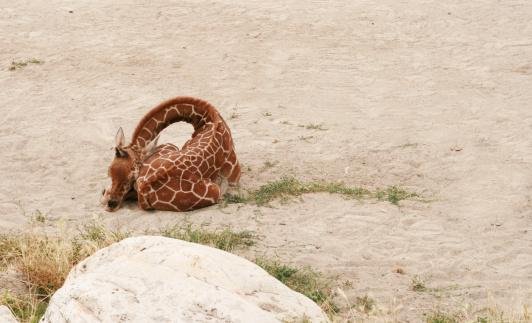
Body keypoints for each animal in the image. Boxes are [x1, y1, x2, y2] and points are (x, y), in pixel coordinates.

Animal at [101, 96, 241, 213]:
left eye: (132, 177)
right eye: (109, 172)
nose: (111, 204)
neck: (208, 119)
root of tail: (146, 186)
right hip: (214, 190)